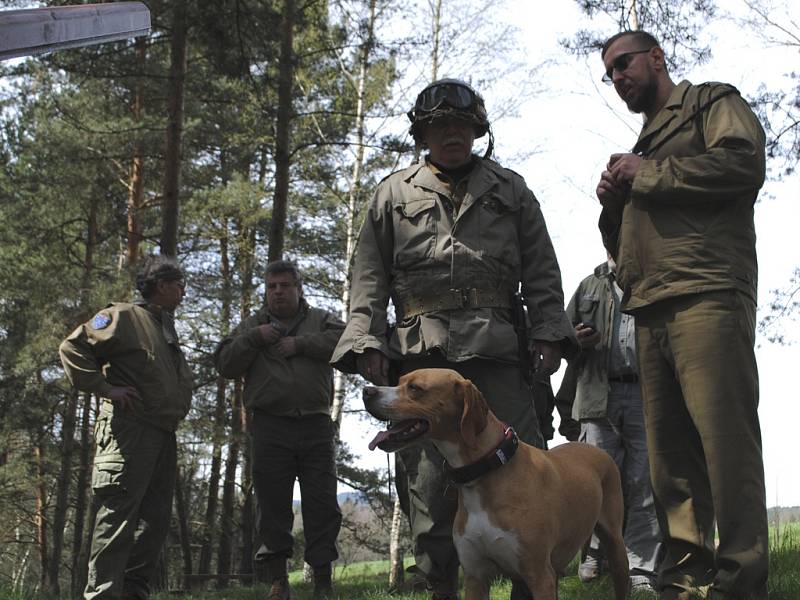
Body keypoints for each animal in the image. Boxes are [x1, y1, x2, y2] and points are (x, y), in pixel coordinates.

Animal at [362, 368, 632, 600]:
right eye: (399, 381)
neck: (487, 470)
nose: (367, 391)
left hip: (615, 545)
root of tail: (593, 448)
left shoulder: (539, 575)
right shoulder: (475, 576)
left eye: (415, 388)